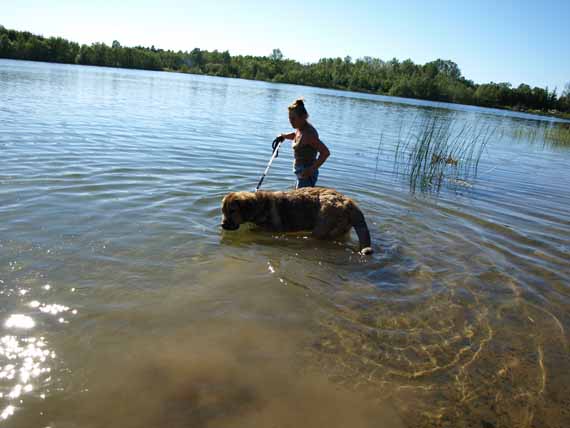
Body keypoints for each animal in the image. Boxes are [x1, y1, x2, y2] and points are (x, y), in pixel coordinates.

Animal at [219, 187, 372, 254]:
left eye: (232, 211)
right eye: (223, 211)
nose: (222, 224)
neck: (260, 206)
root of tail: (349, 202)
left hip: (322, 225)